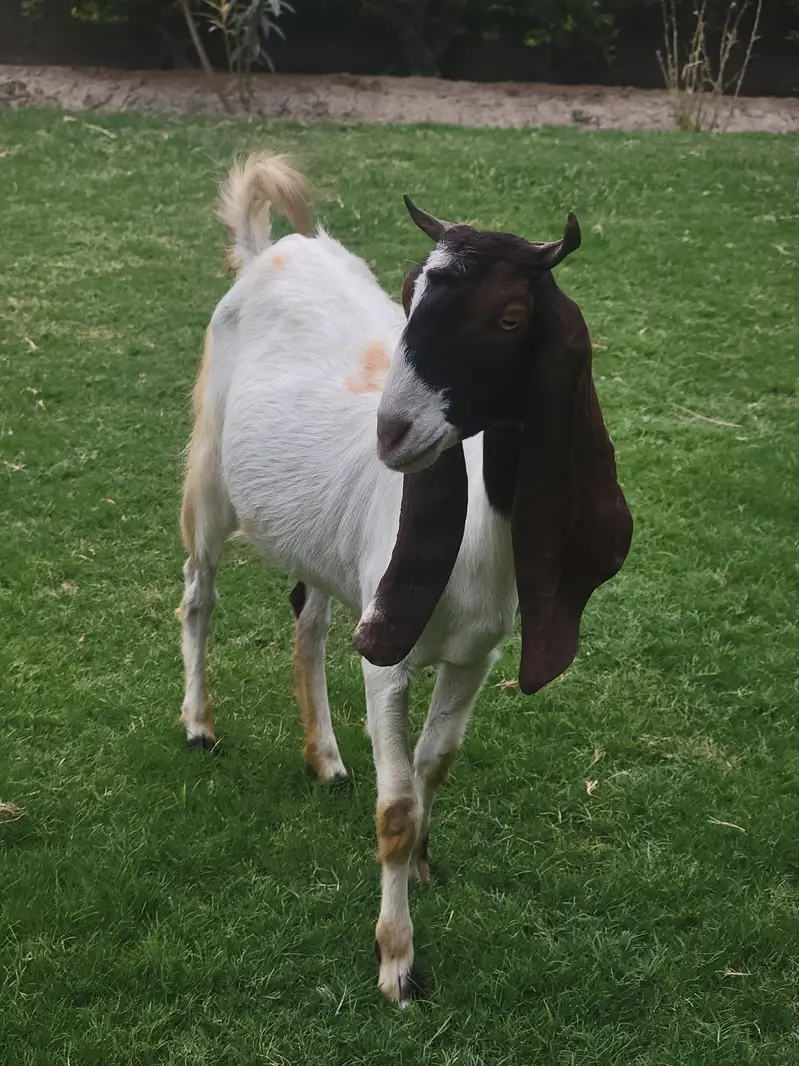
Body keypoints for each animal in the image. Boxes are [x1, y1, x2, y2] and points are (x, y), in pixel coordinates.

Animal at [178, 151, 633, 1005]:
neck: (477, 532)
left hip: (327, 553)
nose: (390, 433)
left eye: (510, 318)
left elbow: (433, 767)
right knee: (199, 595)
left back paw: (324, 759)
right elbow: (393, 806)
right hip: (210, 475)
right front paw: (396, 961)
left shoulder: (473, 657)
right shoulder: (388, 654)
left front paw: (422, 864)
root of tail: (266, 252)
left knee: (309, 622)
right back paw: (197, 724)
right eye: (410, 293)